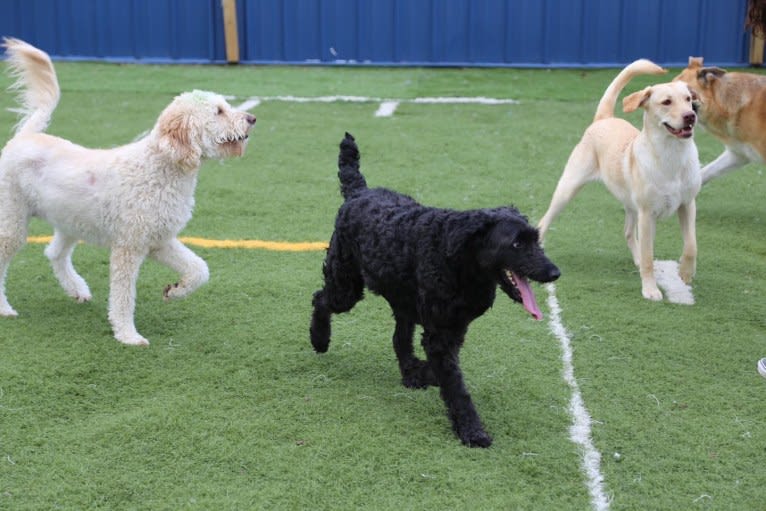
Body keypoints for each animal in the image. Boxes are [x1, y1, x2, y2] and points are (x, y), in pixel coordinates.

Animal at [0, 38, 258, 346]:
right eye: (218, 111)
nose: (252, 118)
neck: (159, 168)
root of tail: (25, 136)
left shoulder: (160, 239)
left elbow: (199, 269)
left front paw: (175, 290)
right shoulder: (129, 246)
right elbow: (123, 296)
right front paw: (127, 335)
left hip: (70, 220)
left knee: (54, 253)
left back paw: (77, 289)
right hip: (13, 220)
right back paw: (5, 308)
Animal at [308, 133, 560, 448]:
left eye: (535, 239)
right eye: (516, 243)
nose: (554, 272)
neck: (460, 259)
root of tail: (358, 193)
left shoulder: (453, 329)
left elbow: (444, 369)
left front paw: (424, 373)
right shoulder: (440, 334)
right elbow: (455, 384)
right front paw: (472, 431)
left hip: (400, 300)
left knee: (399, 339)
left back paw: (410, 373)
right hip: (346, 286)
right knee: (320, 299)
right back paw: (319, 339)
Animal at [540, 59, 704, 300]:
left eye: (688, 100)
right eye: (666, 102)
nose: (690, 116)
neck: (672, 156)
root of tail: (604, 118)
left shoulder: (688, 204)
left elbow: (691, 245)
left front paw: (685, 272)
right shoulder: (647, 214)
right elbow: (648, 256)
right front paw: (650, 289)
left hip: (630, 204)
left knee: (627, 233)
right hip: (567, 189)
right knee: (544, 221)